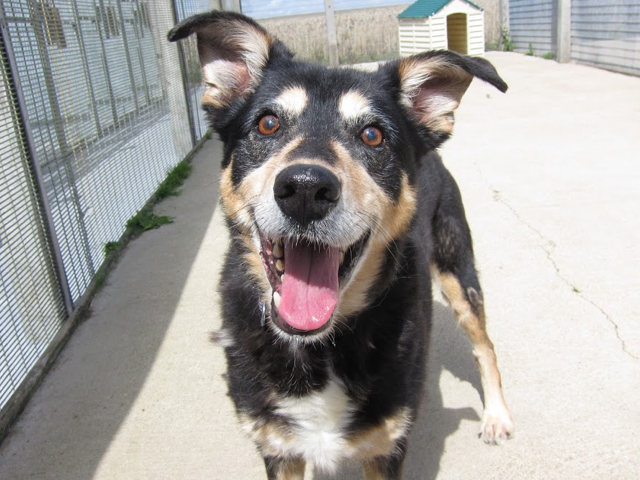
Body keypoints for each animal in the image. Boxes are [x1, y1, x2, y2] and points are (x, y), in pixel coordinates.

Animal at [169, 11, 516, 480]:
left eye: (372, 135)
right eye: (267, 123)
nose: (305, 189)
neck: (317, 349)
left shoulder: (386, 447)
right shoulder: (279, 448)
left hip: (458, 272)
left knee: (485, 345)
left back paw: (497, 415)